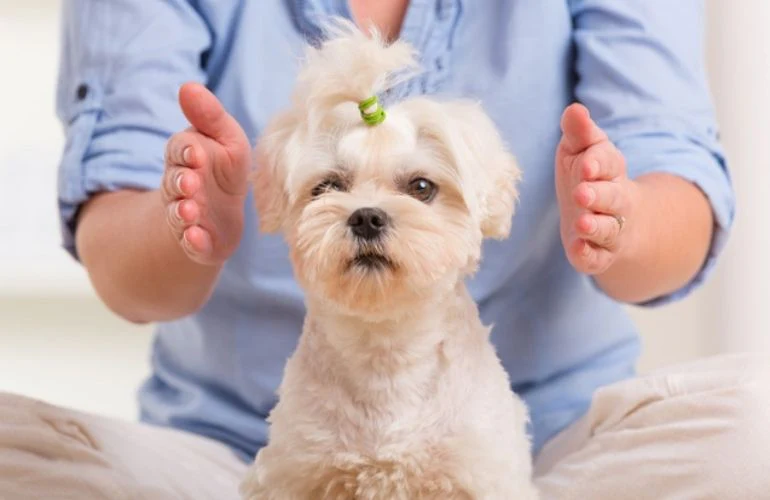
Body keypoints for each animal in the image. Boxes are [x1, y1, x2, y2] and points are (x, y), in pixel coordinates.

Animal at [243, 22, 536, 500]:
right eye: (327, 187)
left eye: (421, 187)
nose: (366, 216)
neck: (385, 354)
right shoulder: (296, 470)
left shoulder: (479, 471)